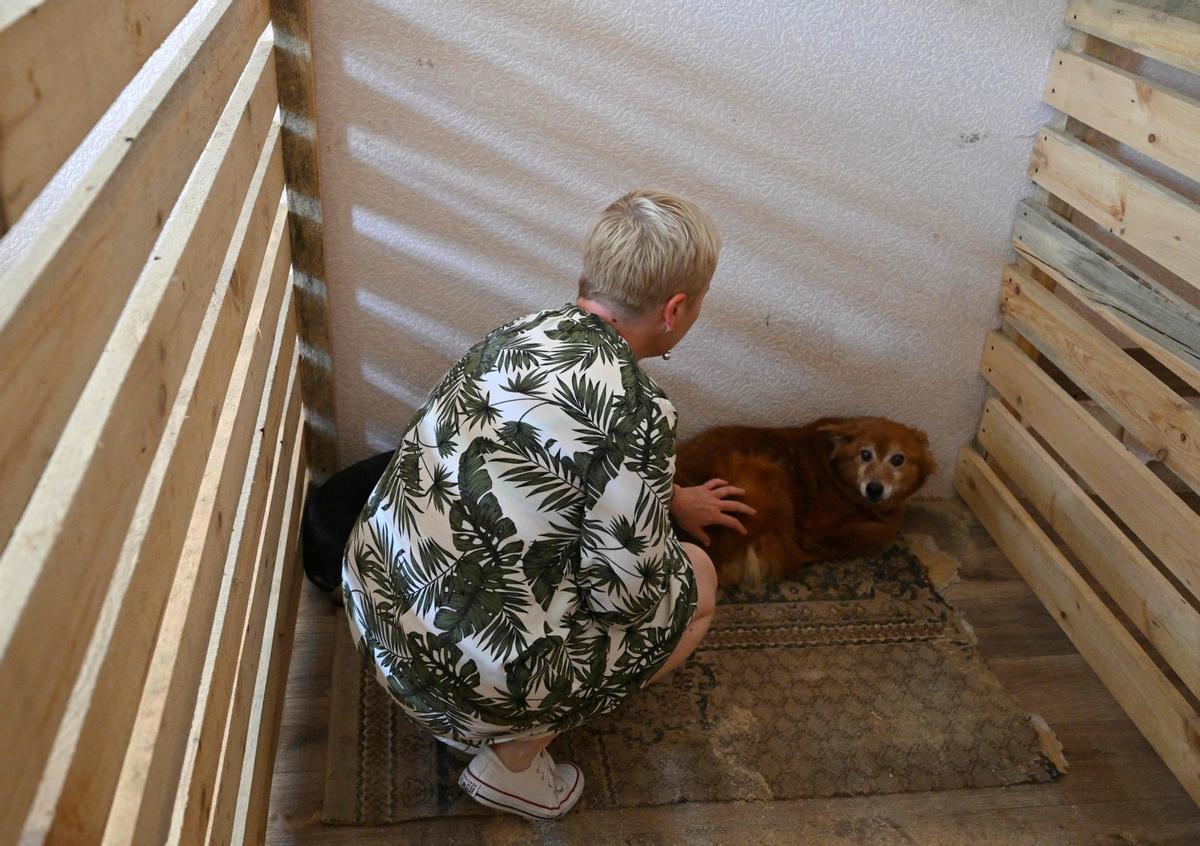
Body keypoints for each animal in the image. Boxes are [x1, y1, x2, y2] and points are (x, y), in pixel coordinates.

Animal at [676, 415, 936, 588]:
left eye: (898, 459)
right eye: (865, 454)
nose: (874, 489)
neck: (837, 474)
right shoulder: (819, 523)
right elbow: (881, 532)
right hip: (767, 471)